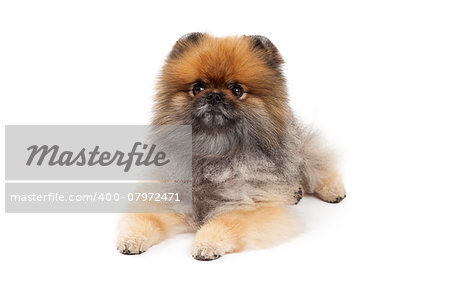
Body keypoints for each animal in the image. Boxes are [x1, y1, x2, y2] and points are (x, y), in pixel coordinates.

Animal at [116, 32, 344, 260]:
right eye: (198, 88)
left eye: (237, 90)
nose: (214, 96)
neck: (213, 148)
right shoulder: (168, 196)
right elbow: (147, 218)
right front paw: (131, 239)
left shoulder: (249, 205)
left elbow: (227, 223)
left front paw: (207, 243)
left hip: (300, 152)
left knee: (317, 164)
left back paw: (331, 190)